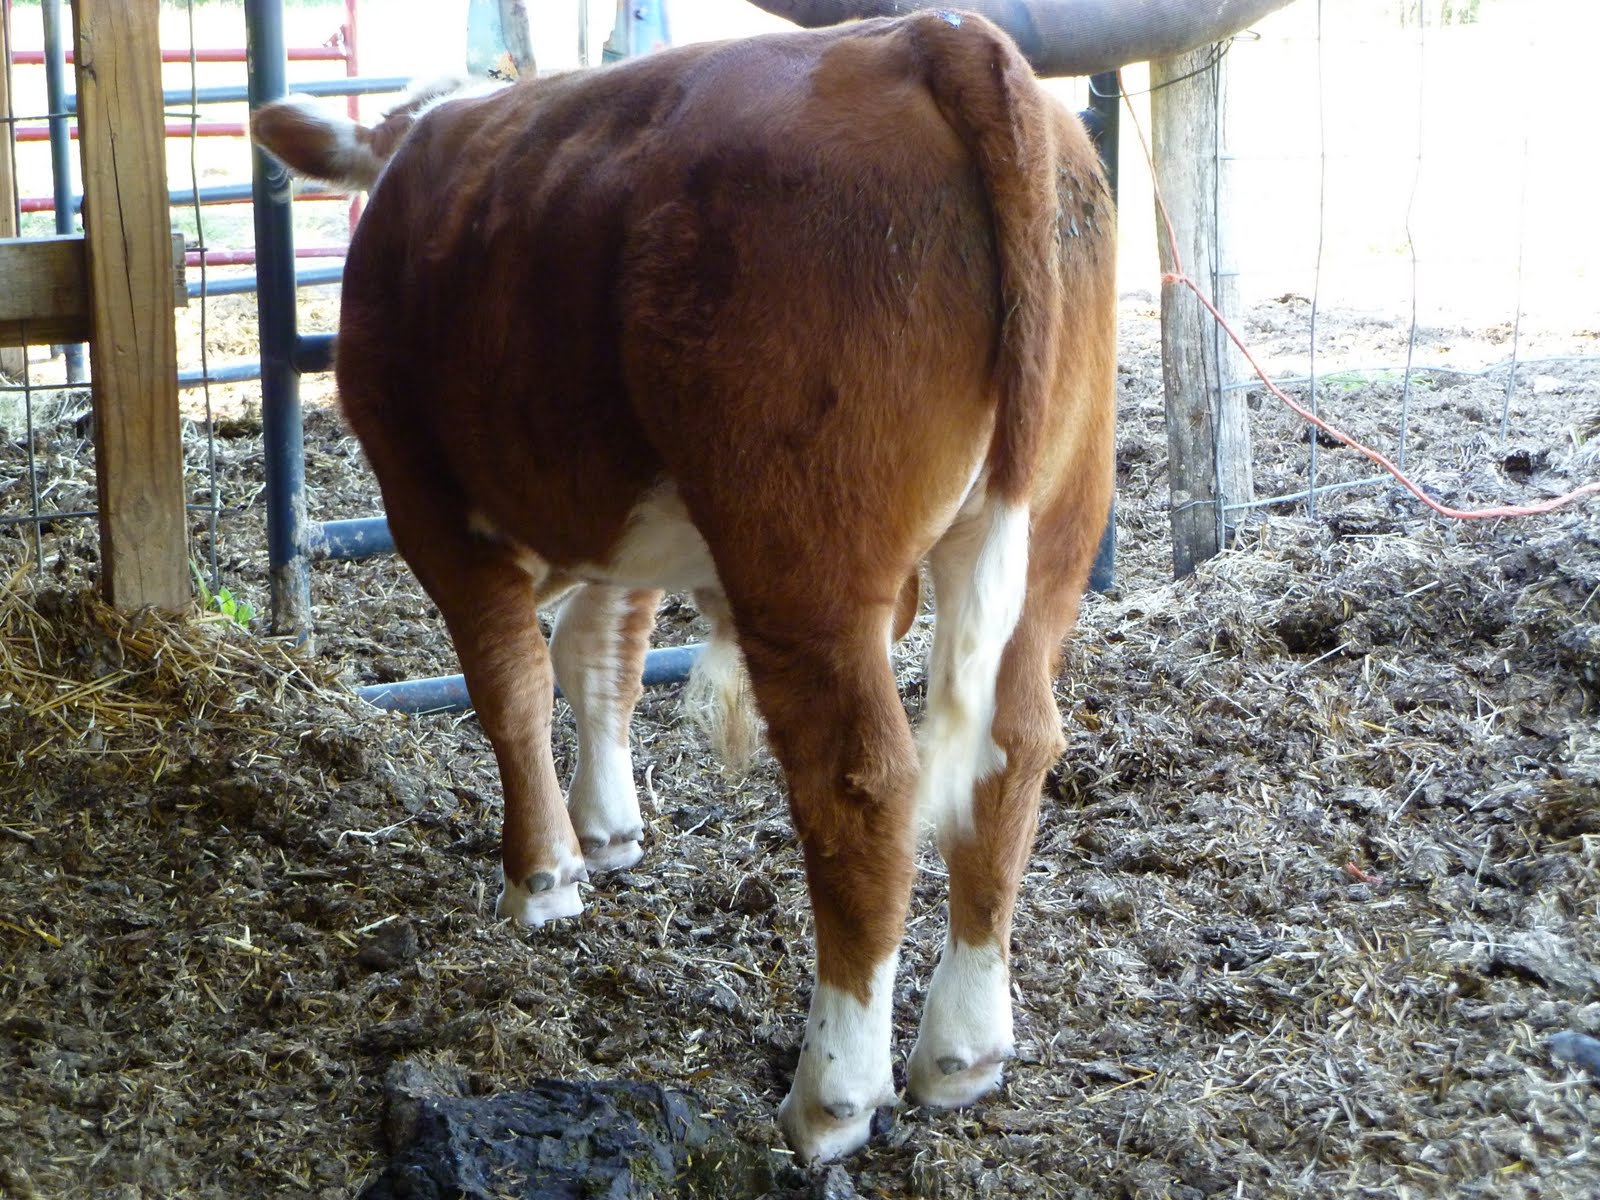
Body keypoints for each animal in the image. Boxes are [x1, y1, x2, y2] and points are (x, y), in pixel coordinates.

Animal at [252, 9, 1116, 1163]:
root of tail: (933, 39)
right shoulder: (631, 525)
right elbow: (599, 656)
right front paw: (608, 831)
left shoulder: (426, 502)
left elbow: (509, 682)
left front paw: (543, 878)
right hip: (1051, 525)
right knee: (1012, 751)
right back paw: (963, 1049)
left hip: (804, 558)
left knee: (863, 785)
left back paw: (832, 1093)